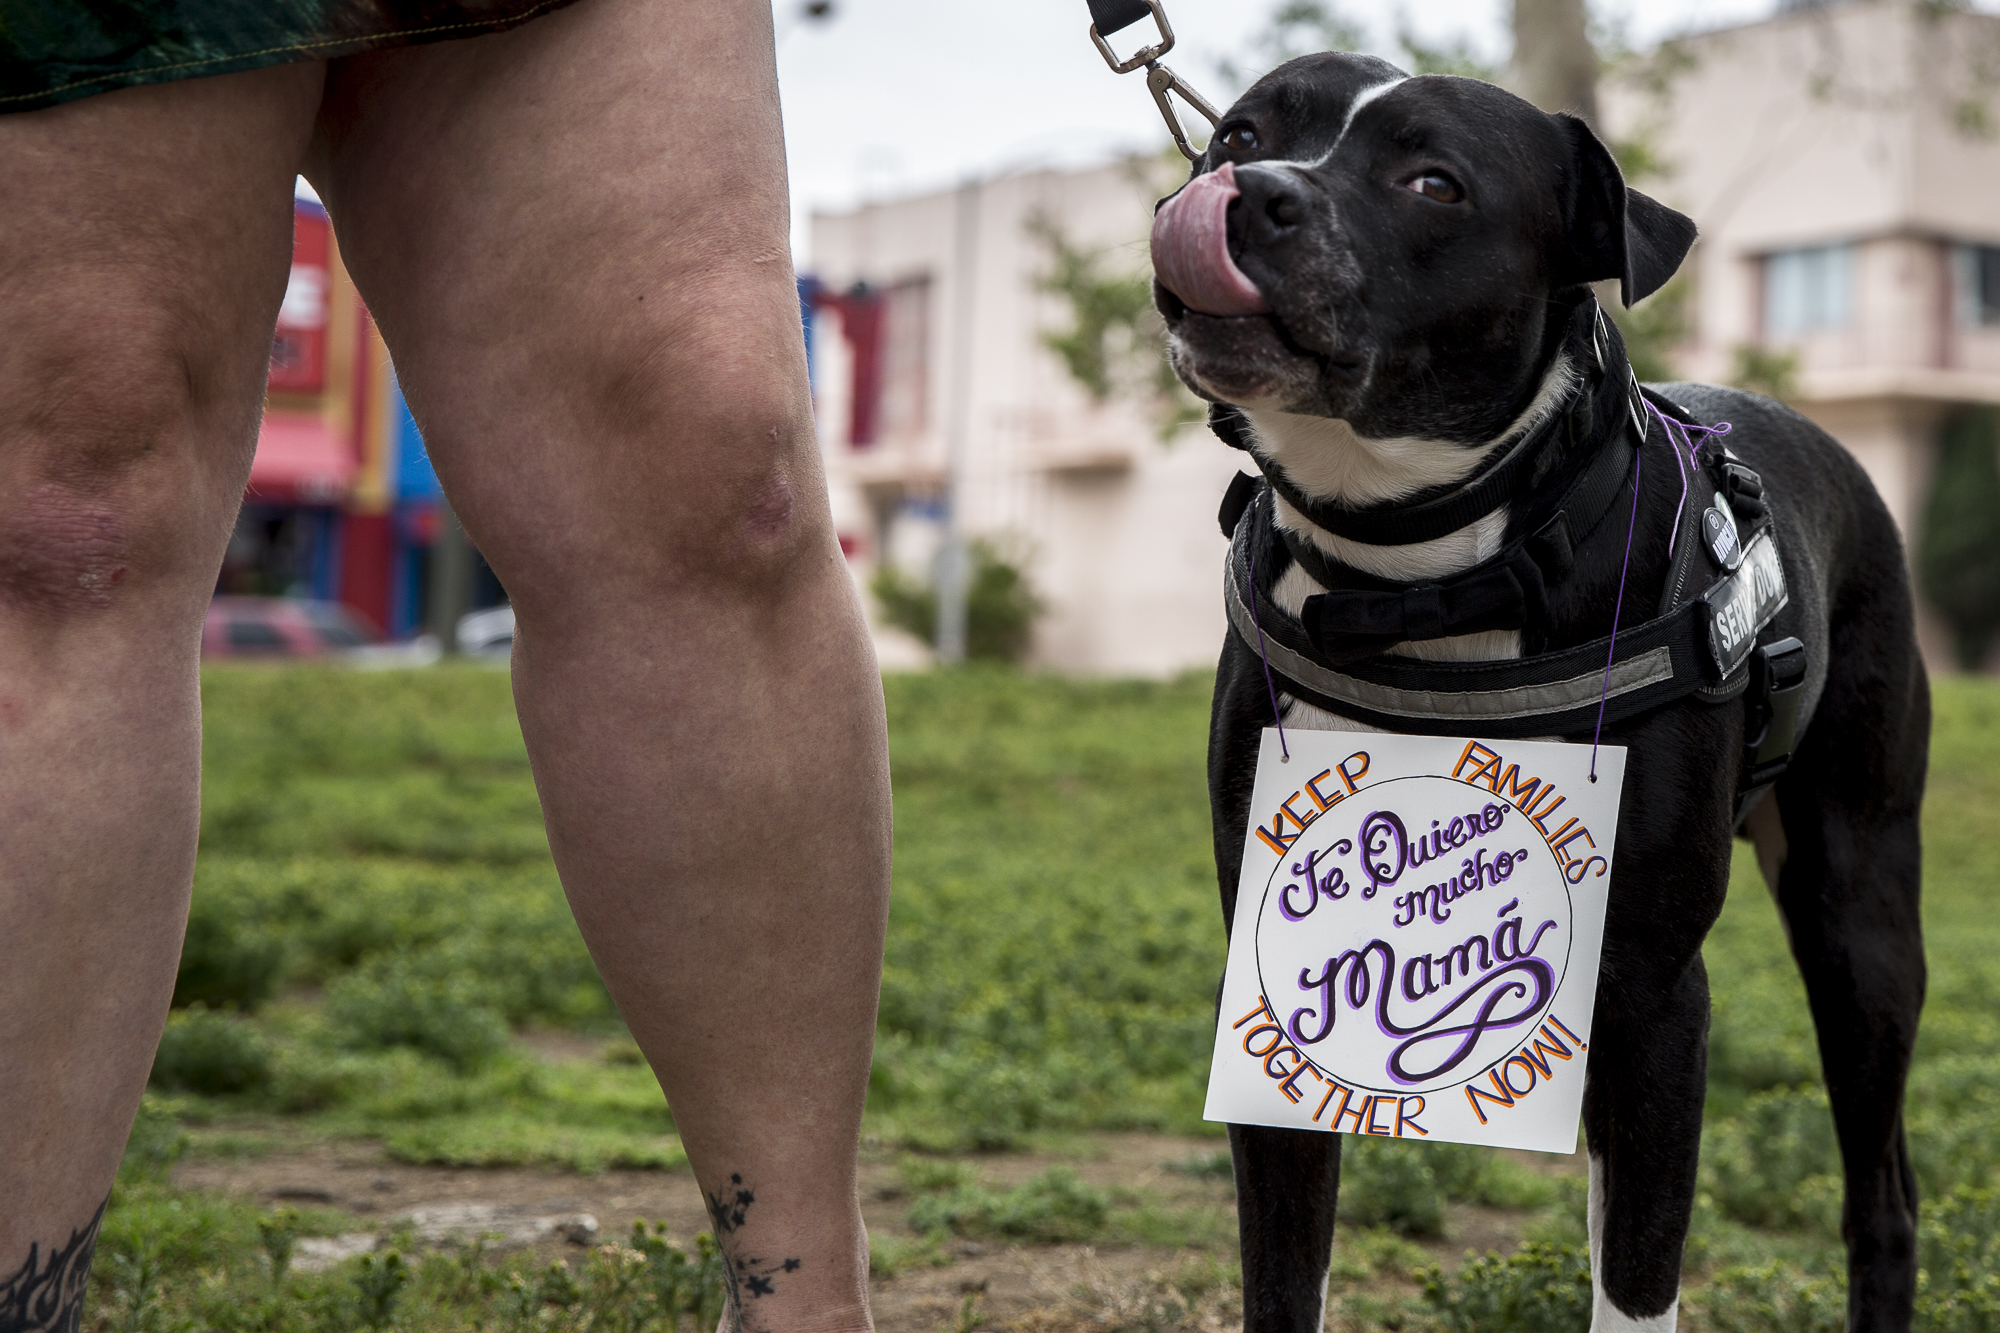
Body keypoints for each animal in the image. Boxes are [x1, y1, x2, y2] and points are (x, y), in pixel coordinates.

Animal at [1152, 49, 1928, 1328]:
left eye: (1432, 182)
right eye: (1239, 134)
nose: (1250, 192)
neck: (1418, 582)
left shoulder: (1659, 993)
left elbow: (1639, 1275)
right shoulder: (1264, 984)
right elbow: (1284, 1270)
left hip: (1858, 913)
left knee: (1880, 1194)